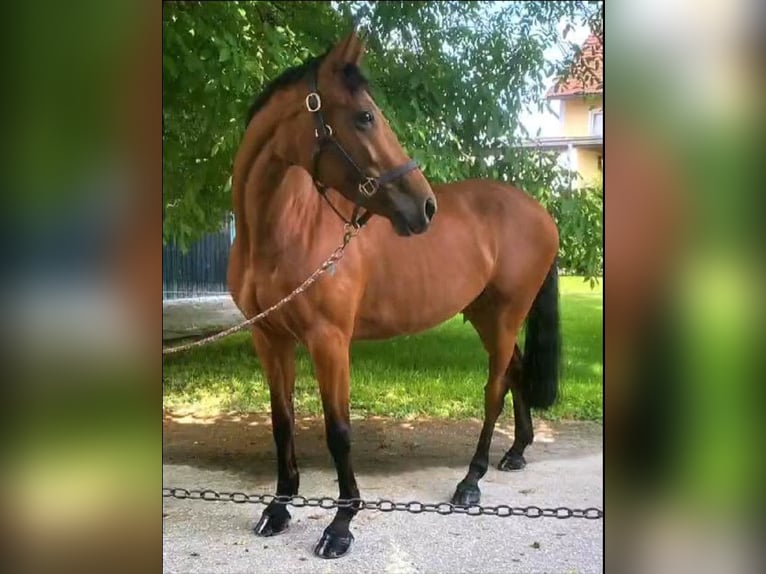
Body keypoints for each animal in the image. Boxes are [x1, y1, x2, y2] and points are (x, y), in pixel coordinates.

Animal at [228, 31, 564, 560]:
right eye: (365, 116)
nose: (424, 206)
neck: (283, 233)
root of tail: (541, 212)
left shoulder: (329, 341)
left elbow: (339, 431)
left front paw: (341, 525)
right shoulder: (269, 337)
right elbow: (281, 422)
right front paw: (278, 509)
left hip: (506, 315)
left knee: (494, 389)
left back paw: (471, 481)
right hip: (487, 314)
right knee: (514, 371)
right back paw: (515, 453)